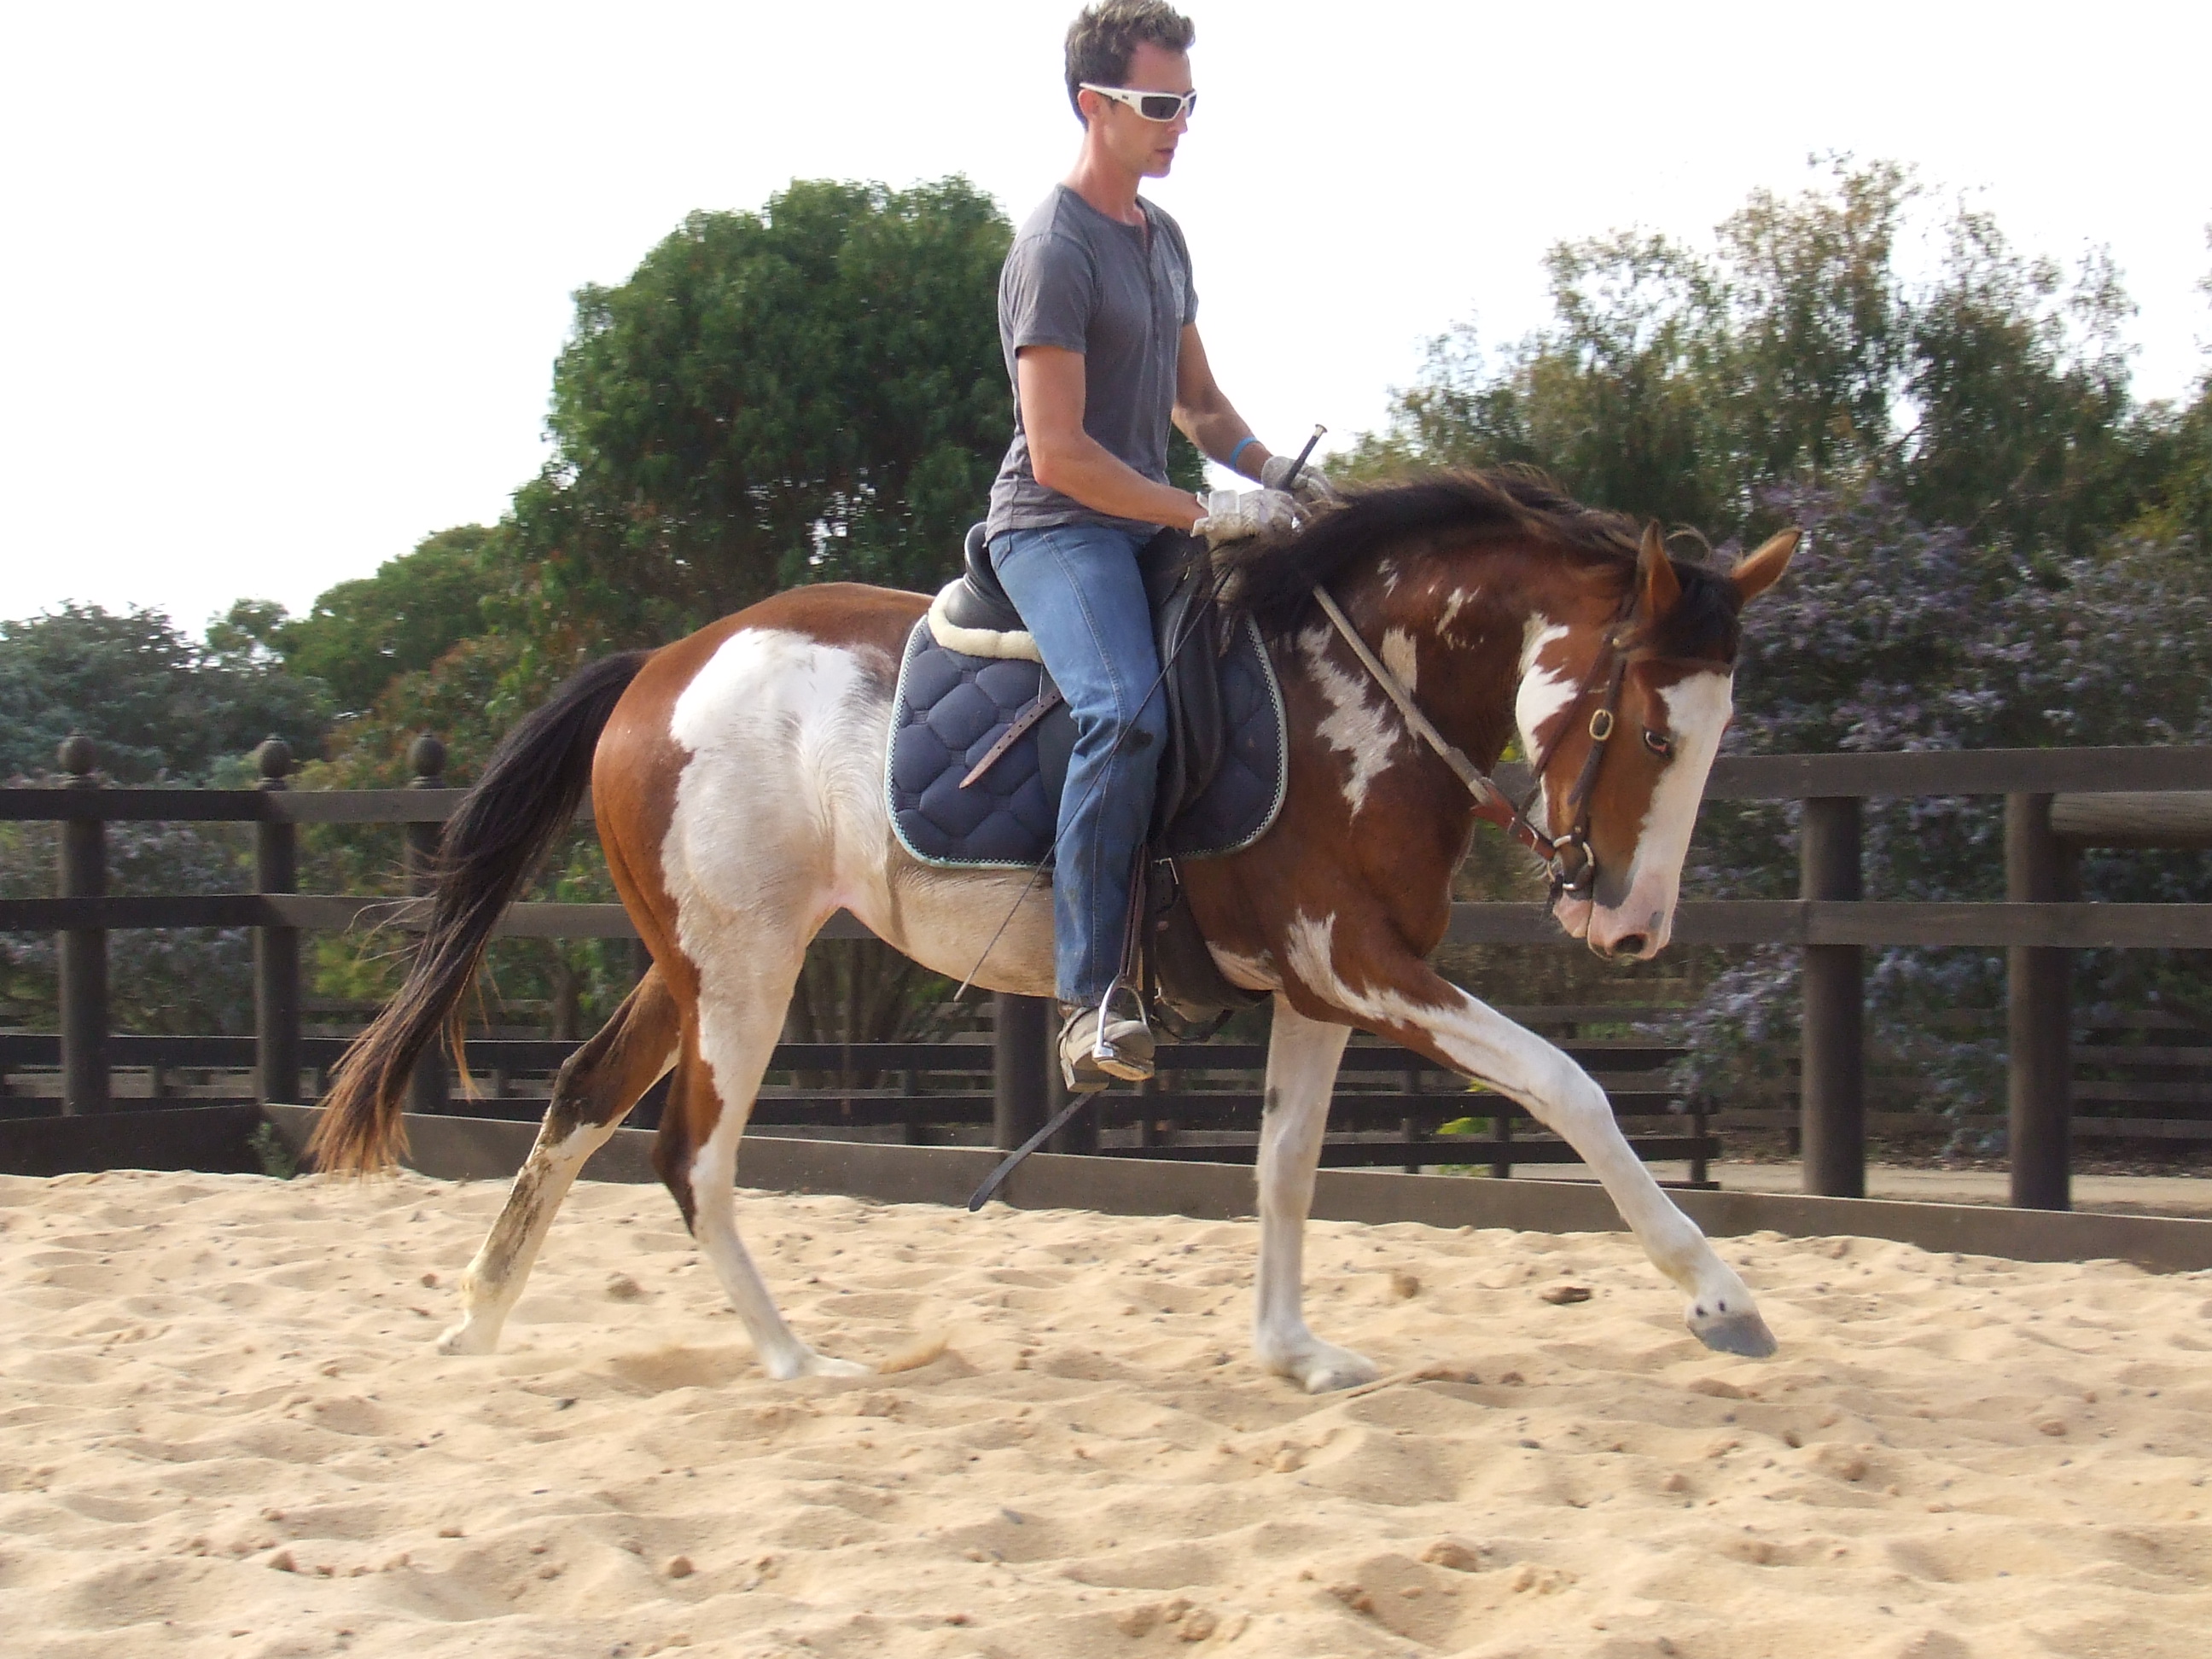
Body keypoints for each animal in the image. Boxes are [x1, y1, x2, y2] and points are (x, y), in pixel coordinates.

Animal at [309, 470, 1799, 1394]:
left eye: (1721, 727)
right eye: (1652, 730)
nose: (1629, 927)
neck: (1357, 692)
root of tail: (659, 669)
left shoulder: (1323, 989)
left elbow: (1285, 1171)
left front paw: (1292, 1353)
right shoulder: (1364, 966)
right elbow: (1570, 1088)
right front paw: (1721, 1300)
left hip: (690, 966)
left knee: (578, 1102)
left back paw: (476, 1322)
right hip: (744, 972)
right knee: (691, 1156)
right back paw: (796, 1363)